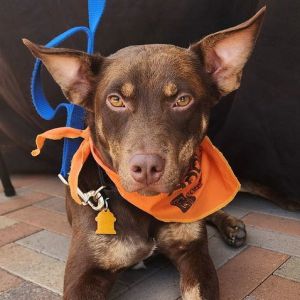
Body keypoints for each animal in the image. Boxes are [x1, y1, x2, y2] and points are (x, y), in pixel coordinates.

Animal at [24, 7, 266, 300]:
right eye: (116, 100)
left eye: (182, 100)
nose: (147, 168)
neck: (144, 207)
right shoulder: (84, 273)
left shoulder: (194, 254)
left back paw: (231, 225)